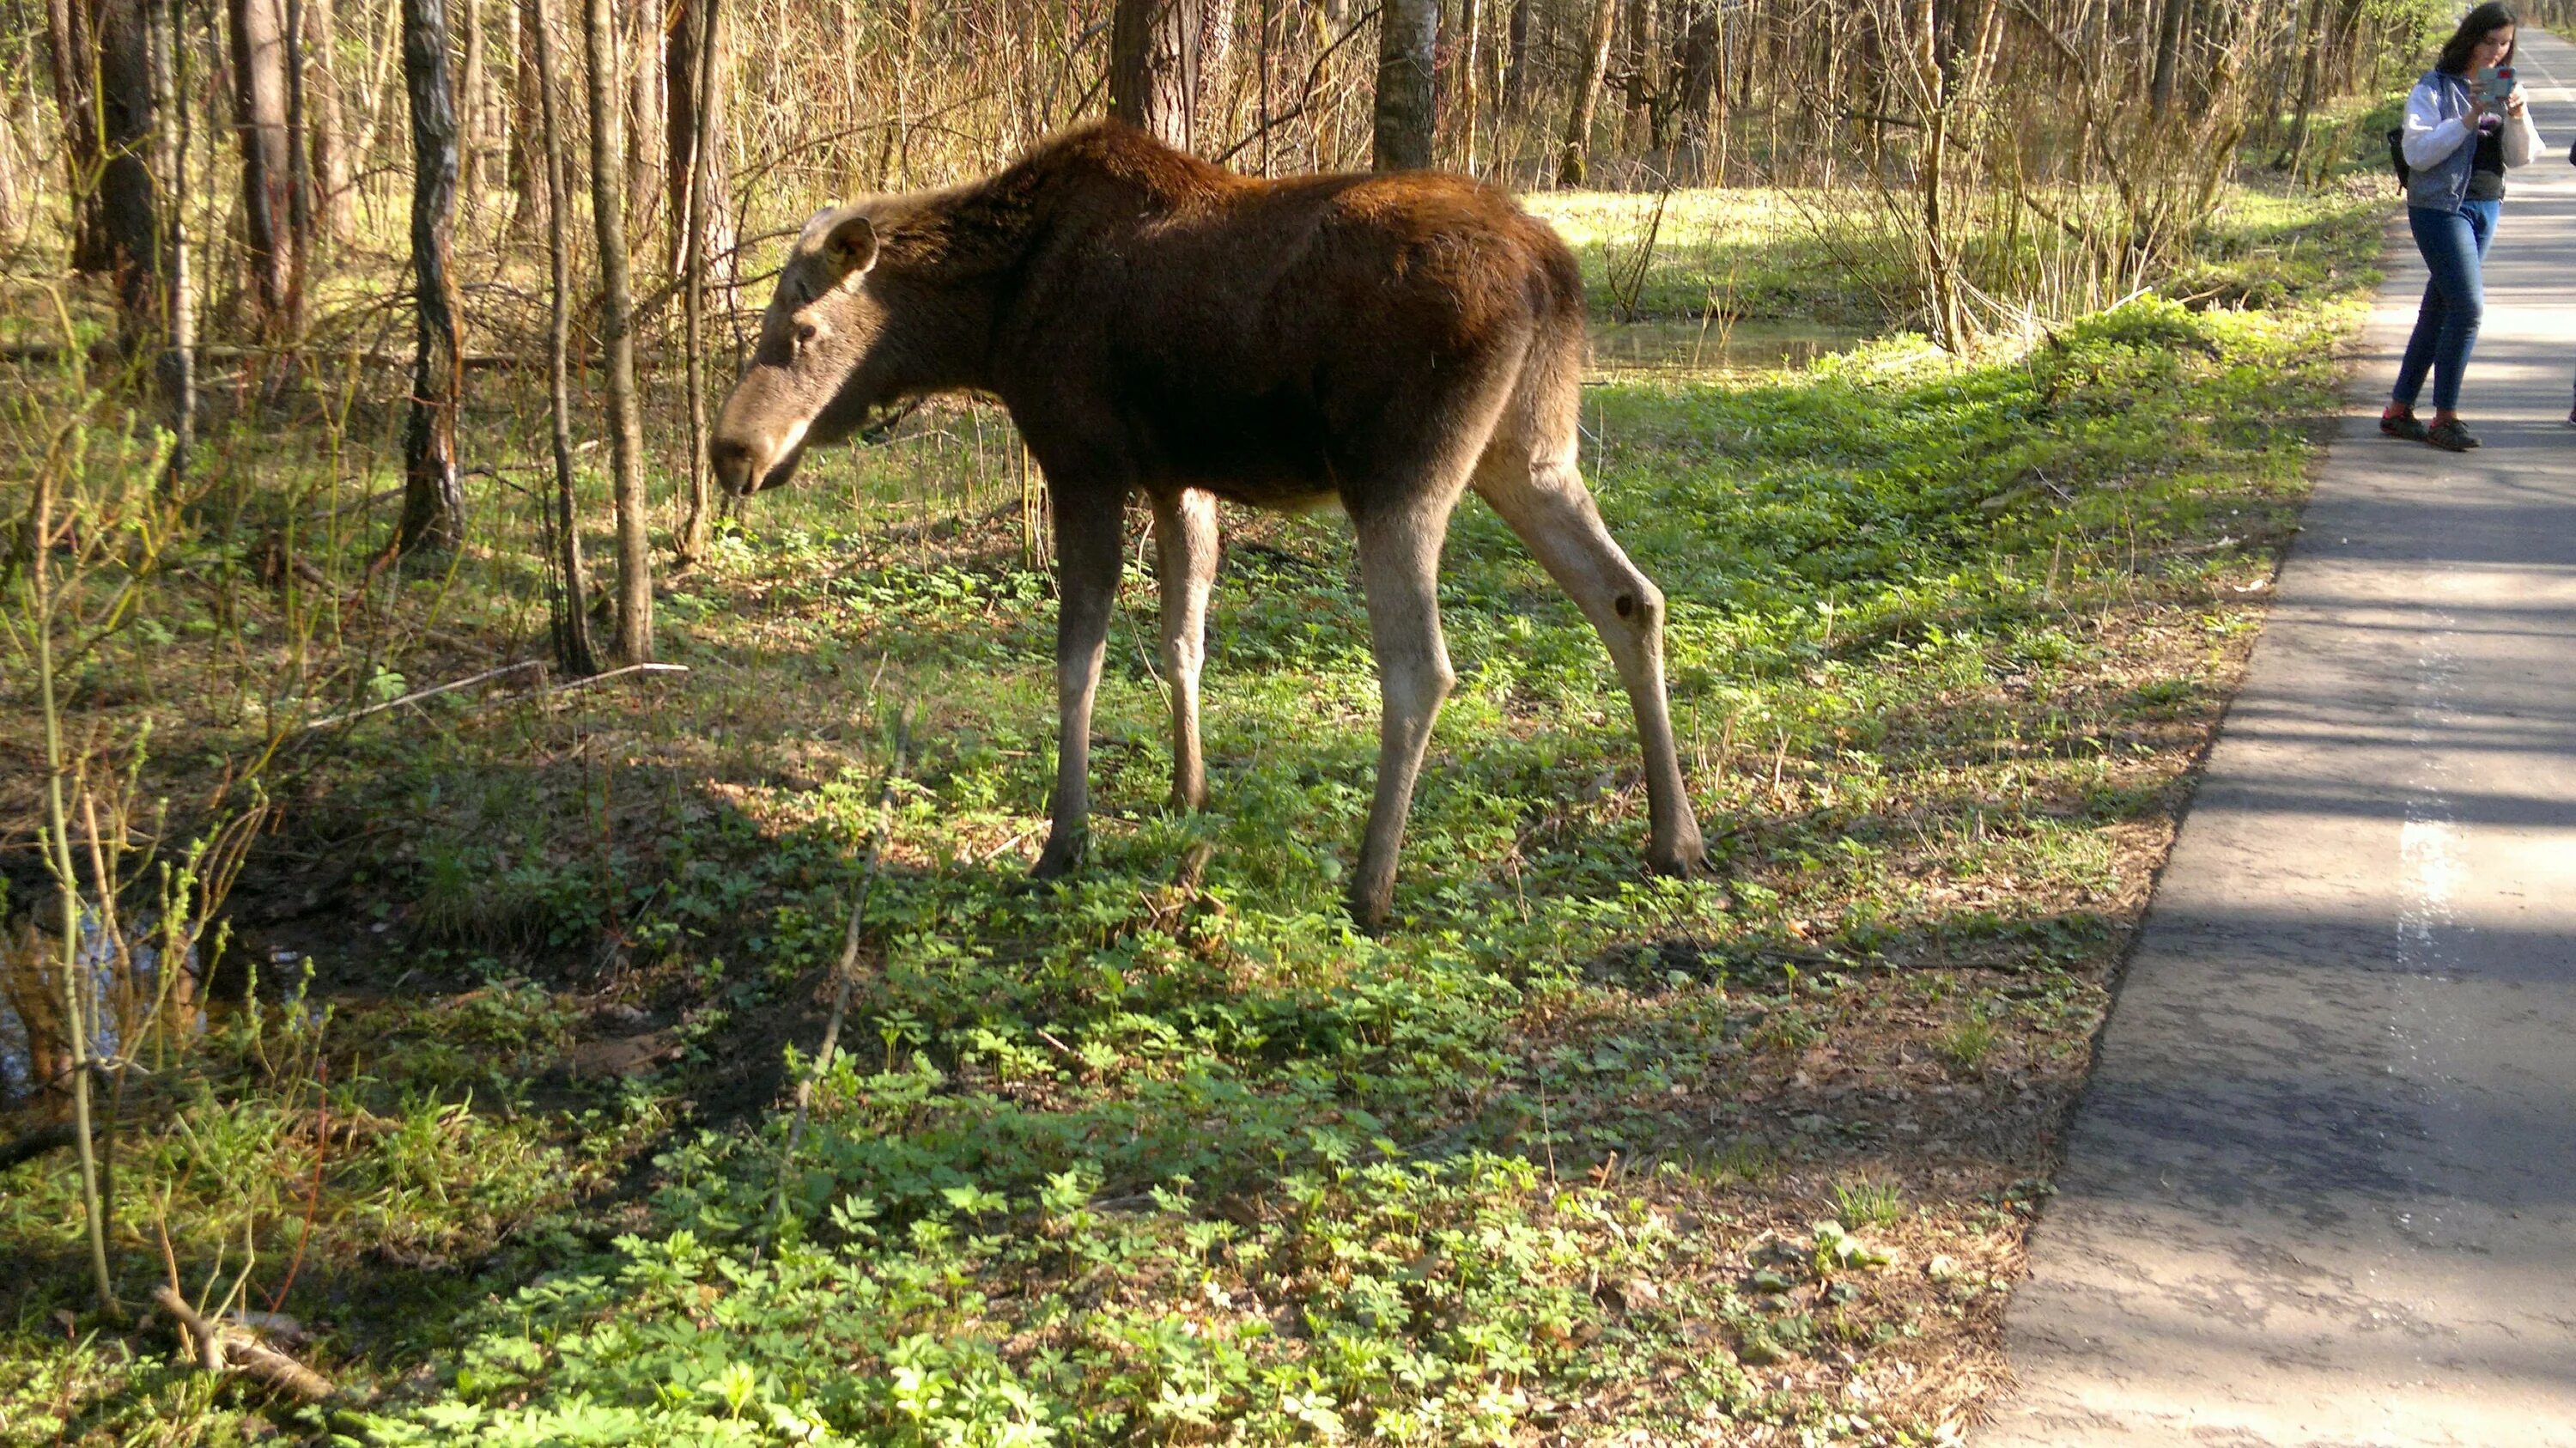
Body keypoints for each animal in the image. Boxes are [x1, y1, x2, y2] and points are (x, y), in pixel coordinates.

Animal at [716, 119, 1700, 917]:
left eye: (799, 332)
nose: (731, 450)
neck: (989, 326)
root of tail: (1554, 274)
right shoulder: (1178, 479)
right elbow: (1182, 636)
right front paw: (1186, 791)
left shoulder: (1083, 460)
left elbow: (1079, 659)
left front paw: (1064, 841)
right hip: (1530, 453)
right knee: (1631, 597)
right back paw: (1675, 837)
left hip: (1400, 475)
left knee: (1422, 667)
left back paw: (1371, 885)